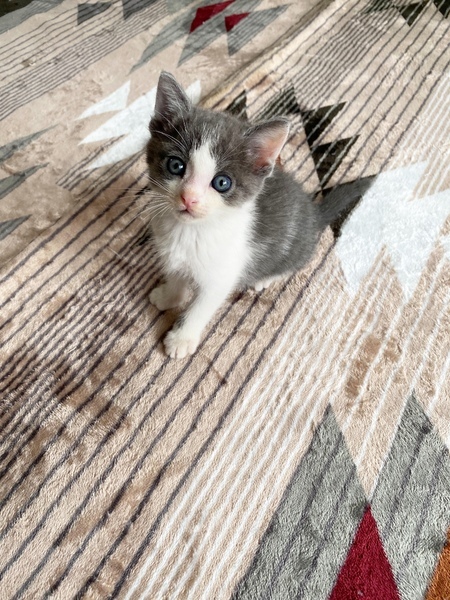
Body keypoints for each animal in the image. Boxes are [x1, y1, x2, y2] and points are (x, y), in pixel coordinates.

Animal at [145, 71, 370, 359]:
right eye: (176, 165)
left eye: (222, 183)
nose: (189, 198)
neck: (190, 231)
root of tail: (314, 211)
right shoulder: (174, 257)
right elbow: (176, 278)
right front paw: (168, 297)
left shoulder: (222, 276)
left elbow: (201, 308)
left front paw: (182, 338)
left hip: (293, 251)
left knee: (295, 263)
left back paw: (264, 279)